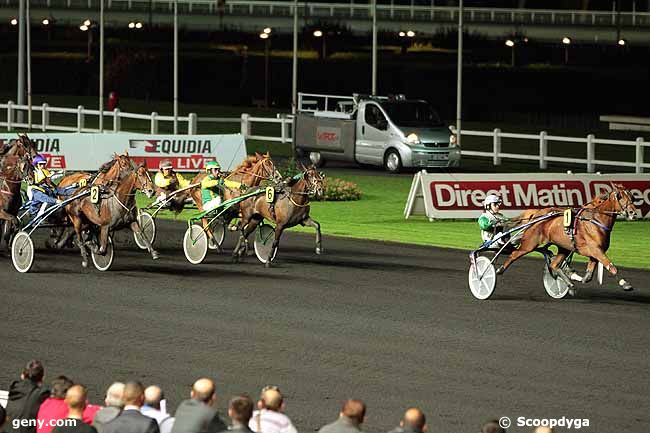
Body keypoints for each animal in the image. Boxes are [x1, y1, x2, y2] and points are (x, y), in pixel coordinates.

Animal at [498, 182, 636, 290]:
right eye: (620, 196)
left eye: (632, 196)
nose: (632, 213)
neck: (596, 220)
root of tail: (537, 214)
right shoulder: (595, 250)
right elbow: (611, 266)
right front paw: (625, 283)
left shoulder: (595, 253)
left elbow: (588, 277)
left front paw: (572, 276)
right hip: (530, 243)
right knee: (514, 254)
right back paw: (499, 270)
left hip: (563, 247)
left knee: (554, 265)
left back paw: (569, 285)